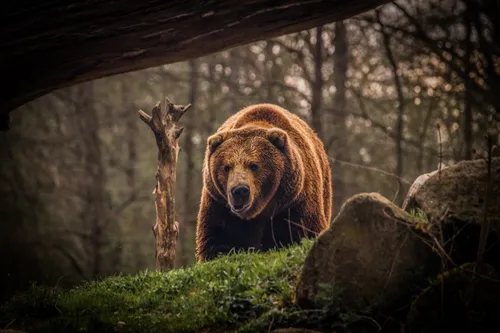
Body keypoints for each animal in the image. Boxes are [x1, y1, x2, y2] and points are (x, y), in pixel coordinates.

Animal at [195, 102, 332, 260]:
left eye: (254, 165)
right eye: (226, 167)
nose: (240, 190)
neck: (262, 210)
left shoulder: (295, 202)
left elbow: (305, 230)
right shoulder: (219, 204)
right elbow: (218, 241)